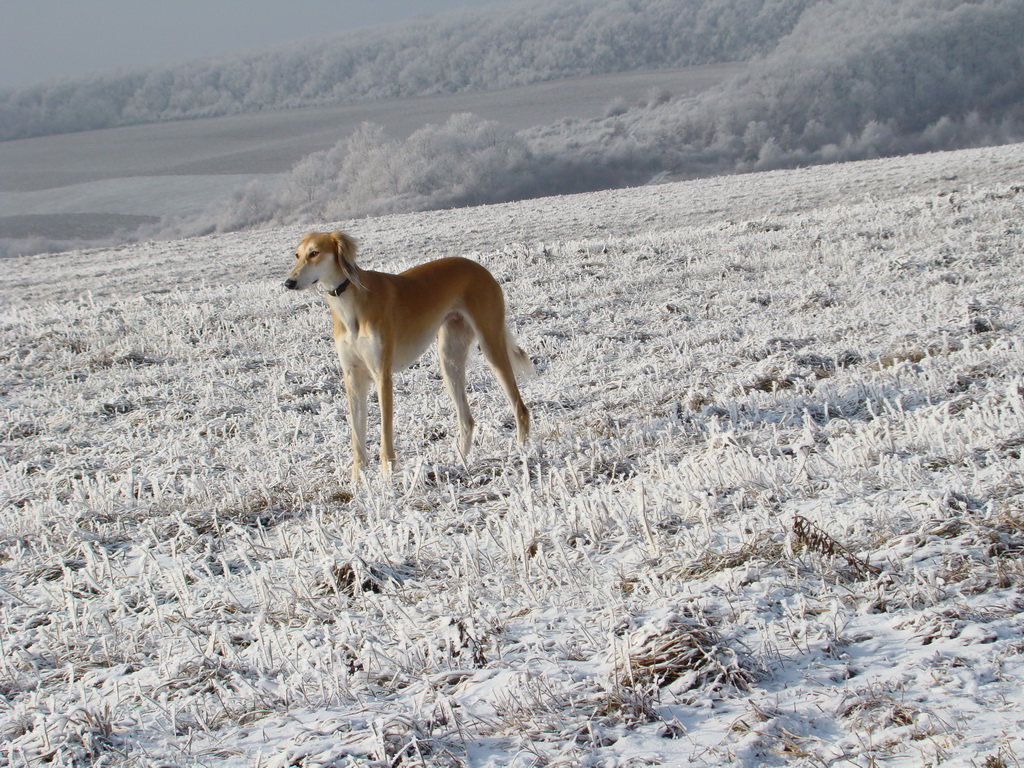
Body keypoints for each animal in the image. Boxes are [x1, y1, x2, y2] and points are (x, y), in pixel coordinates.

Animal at [284, 230, 532, 487]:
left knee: (520, 408)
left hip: (491, 346)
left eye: (314, 253)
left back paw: (522, 452)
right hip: (449, 359)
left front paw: (388, 480)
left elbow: (385, 433)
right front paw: (357, 483)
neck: (350, 301)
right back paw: (459, 464)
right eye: (297, 255)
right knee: (467, 420)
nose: (288, 283)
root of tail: (479, 267)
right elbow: (357, 437)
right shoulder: (352, 378)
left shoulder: (382, 376)